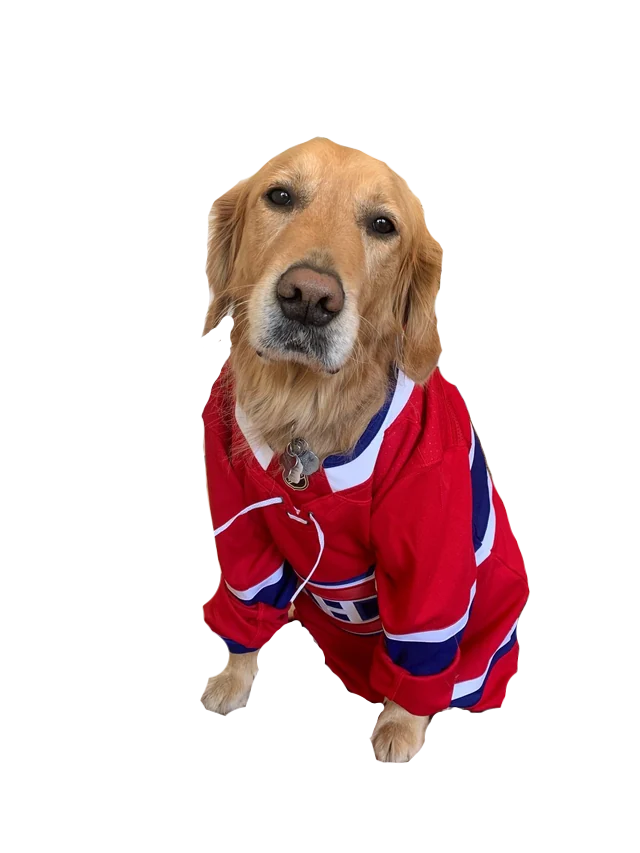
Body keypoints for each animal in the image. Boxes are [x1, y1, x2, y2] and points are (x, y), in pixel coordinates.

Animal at [198, 138, 529, 763]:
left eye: (382, 225)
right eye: (280, 196)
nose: (309, 297)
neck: (306, 414)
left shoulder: (428, 555)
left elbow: (420, 642)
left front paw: (401, 727)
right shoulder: (240, 524)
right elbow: (246, 598)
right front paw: (232, 676)